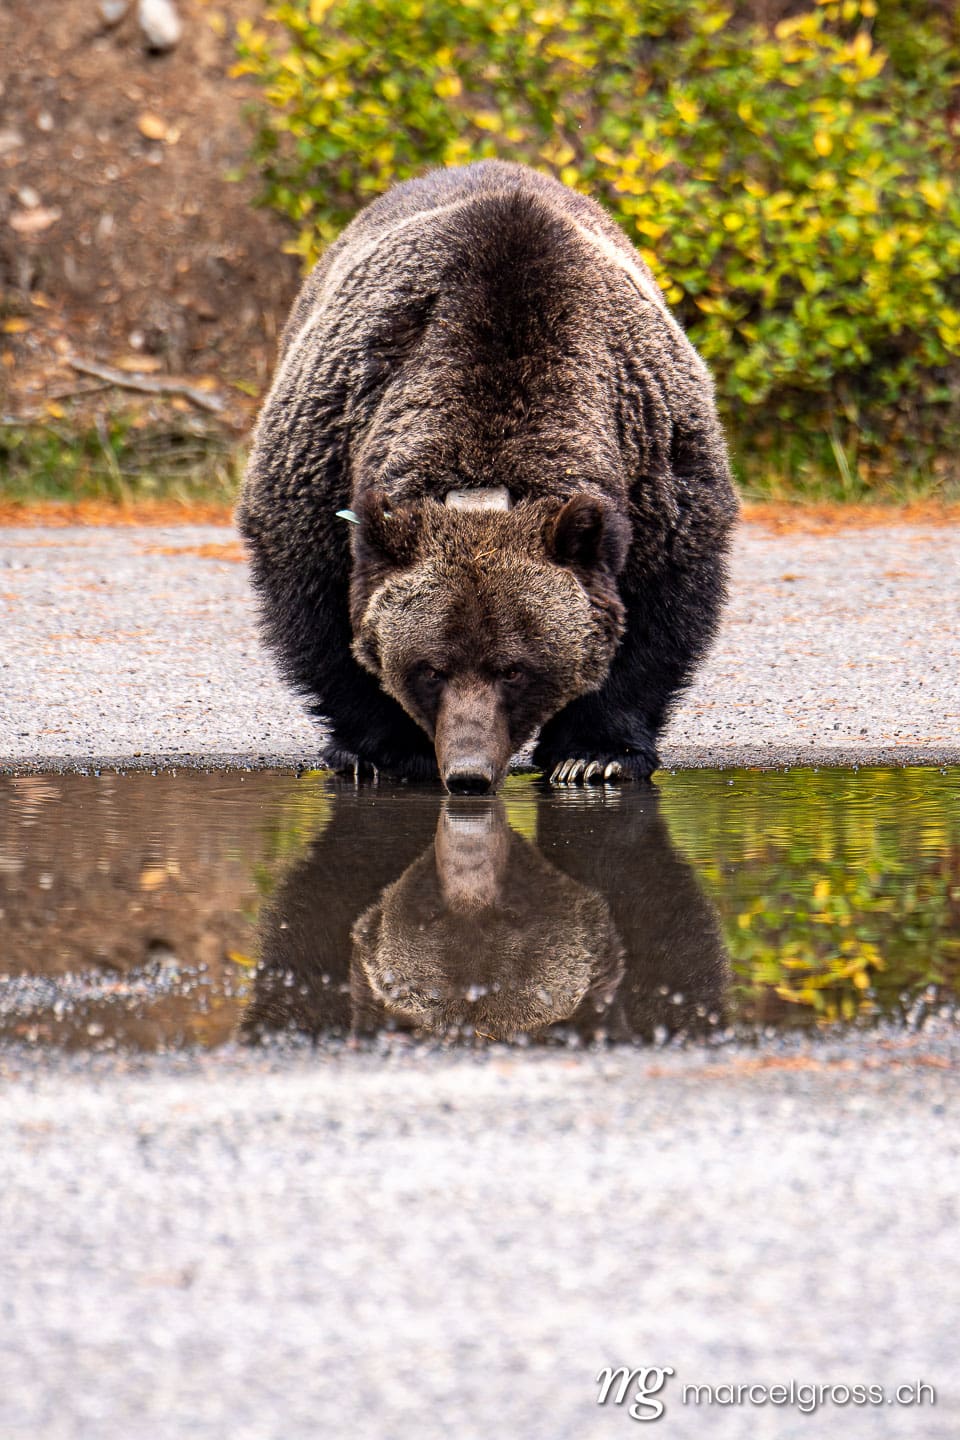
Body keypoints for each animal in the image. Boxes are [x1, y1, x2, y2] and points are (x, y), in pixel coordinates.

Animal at [236, 160, 738, 793]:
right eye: (430, 668)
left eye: (514, 670)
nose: (469, 773)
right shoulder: (328, 464)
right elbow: (326, 621)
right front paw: (381, 750)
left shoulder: (654, 468)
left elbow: (655, 619)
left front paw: (595, 755)